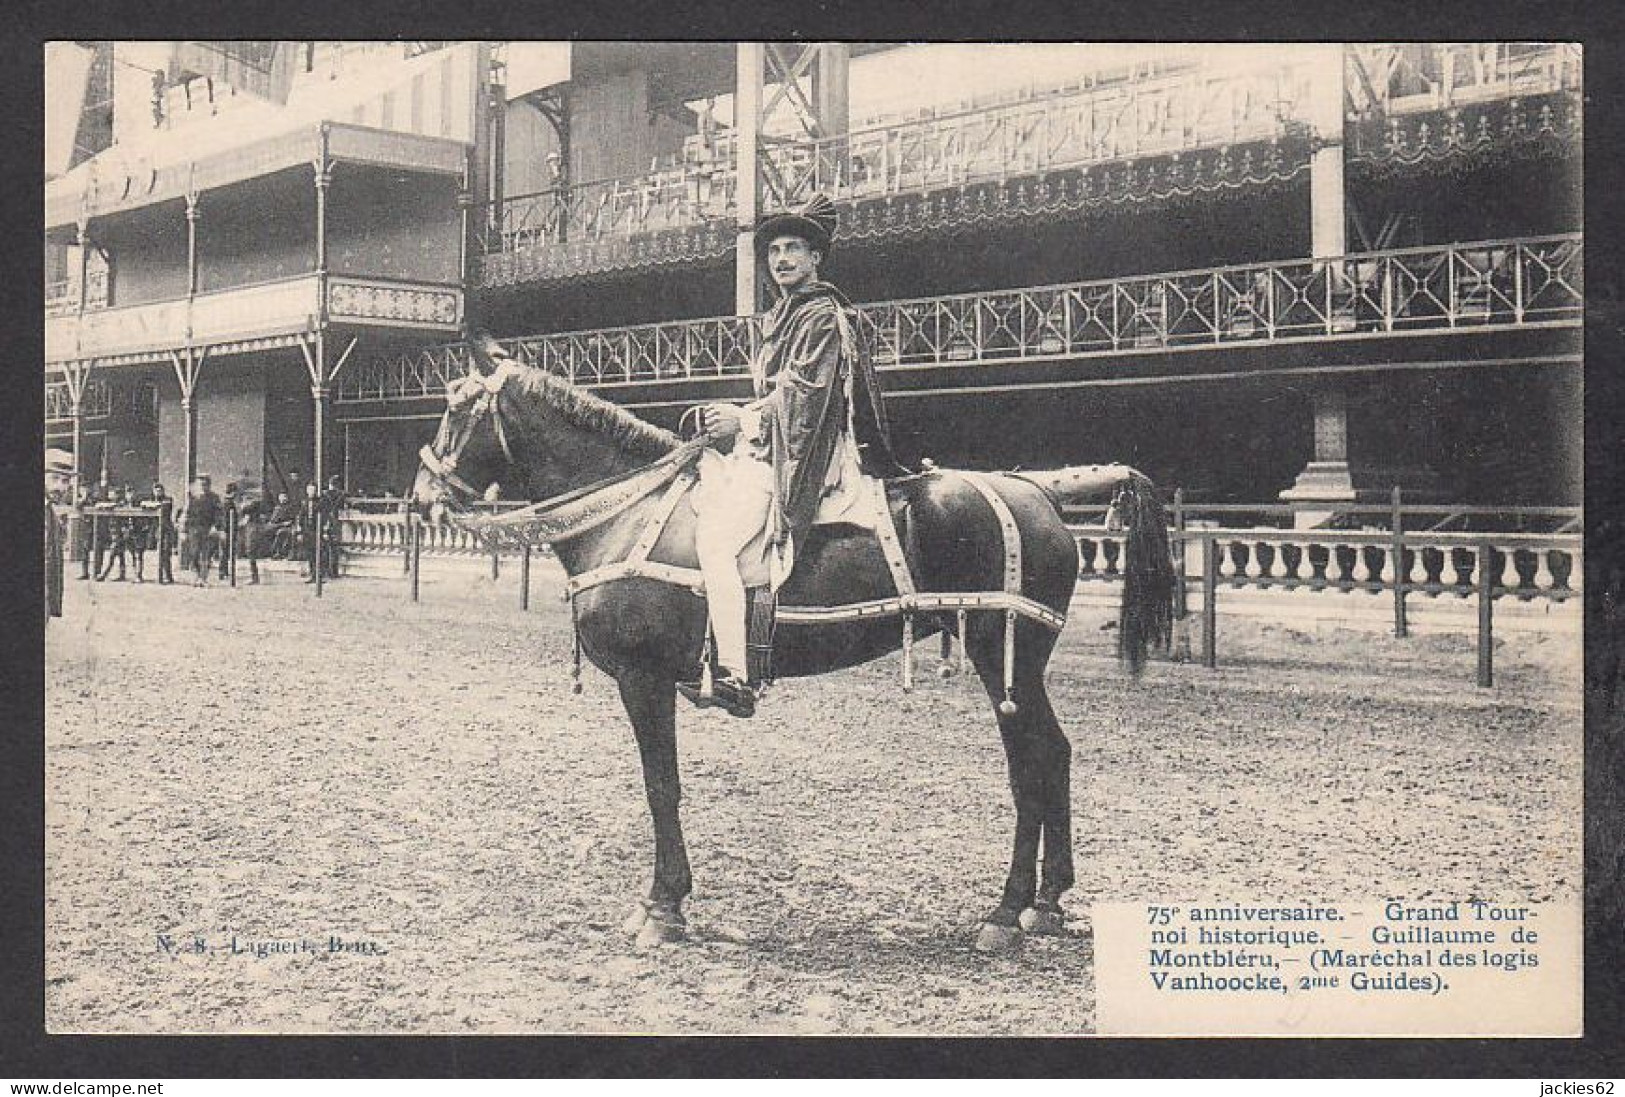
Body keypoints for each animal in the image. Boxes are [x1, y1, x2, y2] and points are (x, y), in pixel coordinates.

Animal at [406, 349, 1170, 955]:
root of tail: (1038, 492)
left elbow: (661, 786)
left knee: (1032, 762)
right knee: (1053, 755)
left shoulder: (642, 679)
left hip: (1001, 655)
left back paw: (1007, 912)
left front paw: (663, 907)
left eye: (456, 409)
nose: (418, 500)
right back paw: (1046, 901)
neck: (629, 513)